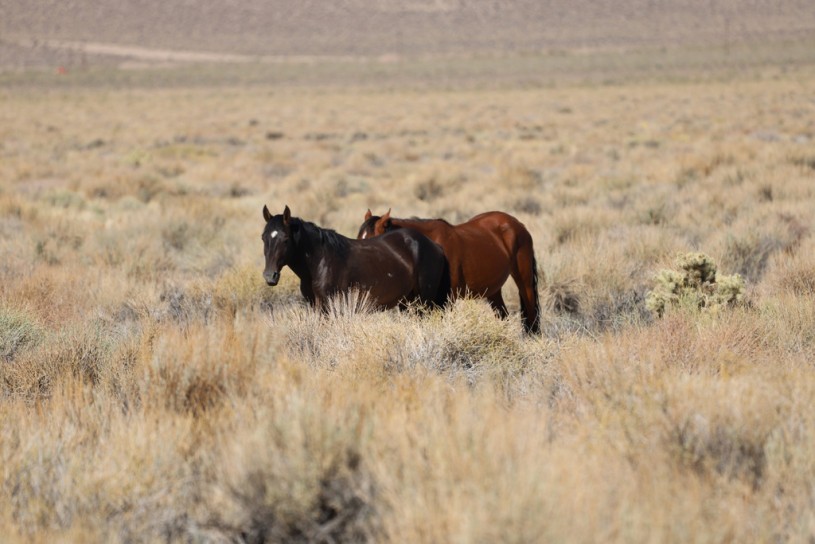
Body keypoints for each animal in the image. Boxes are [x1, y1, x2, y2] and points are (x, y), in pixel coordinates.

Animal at [262, 205, 450, 310]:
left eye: (286, 239)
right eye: (263, 237)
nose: (270, 276)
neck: (320, 261)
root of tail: (435, 246)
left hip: (424, 301)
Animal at [358, 209, 541, 334]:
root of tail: (517, 224)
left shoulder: (446, 299)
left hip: (524, 281)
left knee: (531, 316)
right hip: (493, 290)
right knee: (503, 316)